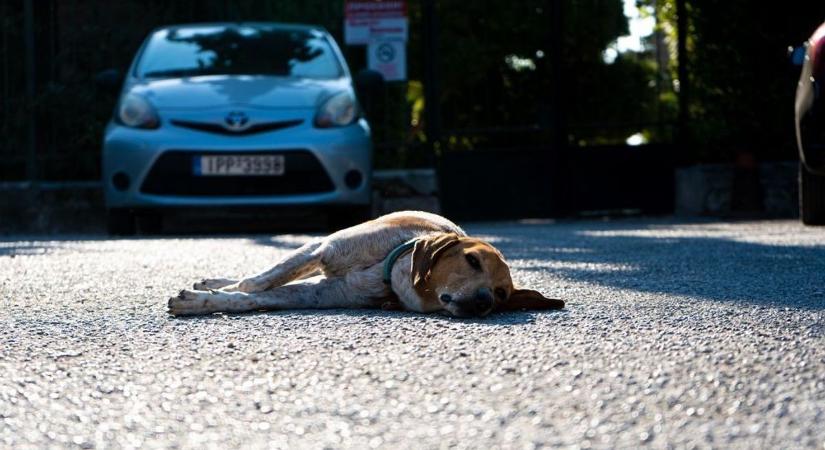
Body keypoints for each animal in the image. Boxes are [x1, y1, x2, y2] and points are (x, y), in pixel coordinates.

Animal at [167, 211, 568, 316]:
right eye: (471, 260)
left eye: (502, 295)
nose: (485, 302)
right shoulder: (320, 249)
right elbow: (253, 284)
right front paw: (209, 295)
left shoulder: (319, 292)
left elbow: (254, 296)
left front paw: (206, 301)